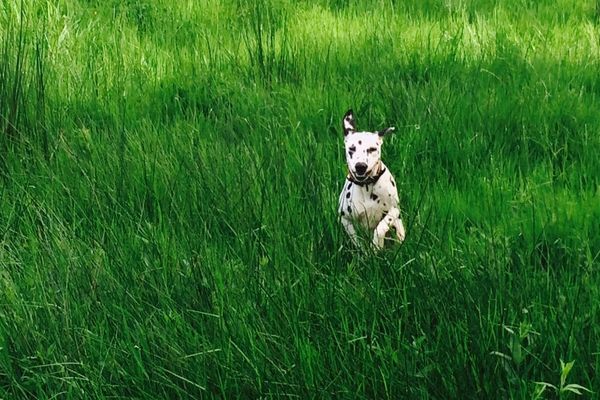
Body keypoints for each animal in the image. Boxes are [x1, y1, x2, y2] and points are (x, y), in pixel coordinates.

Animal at [340, 108, 406, 248]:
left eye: (372, 149)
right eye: (351, 148)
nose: (360, 166)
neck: (366, 186)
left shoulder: (394, 210)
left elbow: (380, 228)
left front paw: (376, 244)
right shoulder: (345, 218)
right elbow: (356, 239)